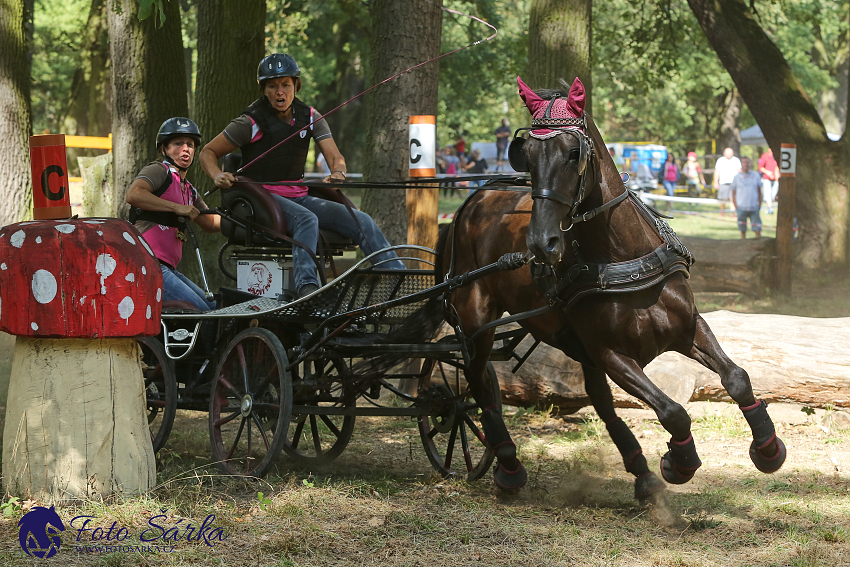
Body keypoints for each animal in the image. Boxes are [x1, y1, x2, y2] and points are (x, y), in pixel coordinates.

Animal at [428, 76, 784, 510]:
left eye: (572, 153)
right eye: (526, 155)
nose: (541, 243)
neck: (622, 255)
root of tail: (471, 203)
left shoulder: (687, 329)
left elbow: (737, 377)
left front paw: (768, 448)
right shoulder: (612, 354)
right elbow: (673, 411)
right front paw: (678, 462)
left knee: (599, 403)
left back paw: (641, 474)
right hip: (477, 320)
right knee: (478, 384)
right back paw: (508, 464)